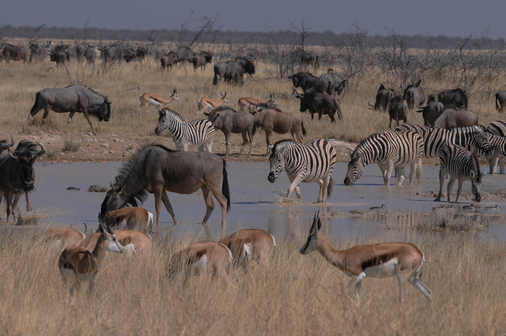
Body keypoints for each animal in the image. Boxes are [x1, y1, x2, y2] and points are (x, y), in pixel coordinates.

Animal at [300, 210, 430, 302]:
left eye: (309, 237)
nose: (301, 250)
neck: (343, 254)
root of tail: (419, 252)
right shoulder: (360, 279)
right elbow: (357, 298)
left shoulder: (360, 275)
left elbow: (346, 290)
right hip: (413, 279)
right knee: (429, 293)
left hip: (402, 277)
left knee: (402, 298)